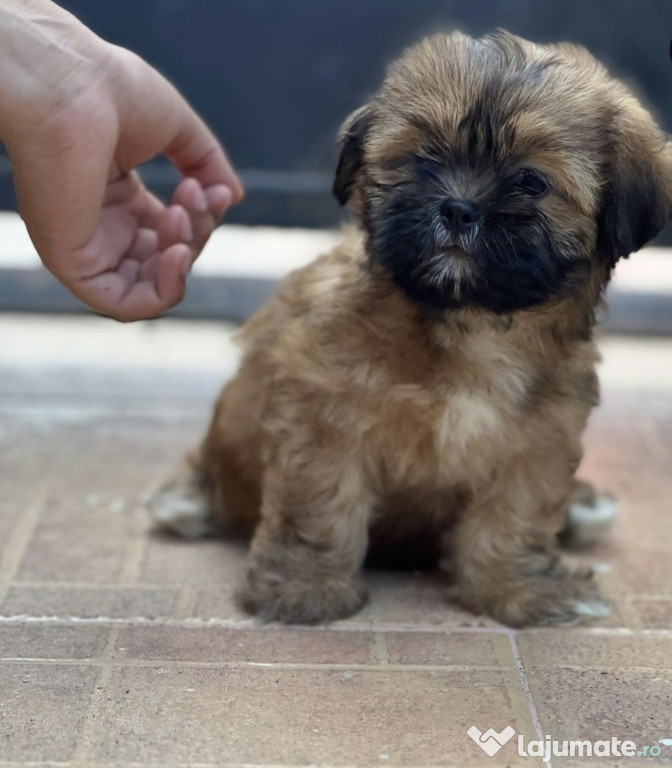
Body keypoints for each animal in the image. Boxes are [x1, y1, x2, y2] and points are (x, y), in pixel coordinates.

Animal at [152, 31, 672, 632]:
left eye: (532, 181)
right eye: (424, 157)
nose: (459, 208)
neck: (468, 322)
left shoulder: (539, 436)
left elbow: (514, 516)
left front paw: (517, 590)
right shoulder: (321, 417)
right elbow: (318, 505)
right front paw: (306, 588)